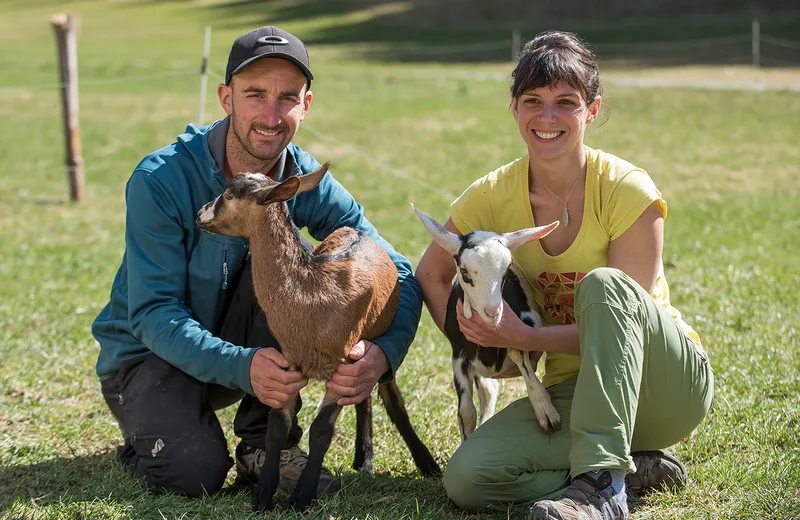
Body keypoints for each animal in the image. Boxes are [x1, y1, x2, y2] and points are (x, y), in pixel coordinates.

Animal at [196, 162, 440, 512]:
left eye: (229, 194)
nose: (200, 213)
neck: (310, 295)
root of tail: (358, 231)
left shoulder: (343, 362)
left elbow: (321, 430)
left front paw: (300, 498)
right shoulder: (289, 362)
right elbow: (276, 427)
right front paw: (263, 495)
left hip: (375, 341)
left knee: (389, 398)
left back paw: (425, 463)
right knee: (363, 399)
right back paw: (363, 459)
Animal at [416, 205, 560, 440]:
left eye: (507, 268)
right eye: (464, 270)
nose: (492, 312)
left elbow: (522, 362)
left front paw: (546, 412)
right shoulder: (458, 354)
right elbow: (466, 413)